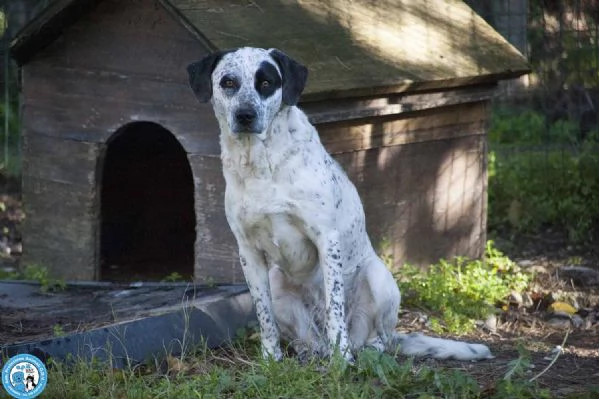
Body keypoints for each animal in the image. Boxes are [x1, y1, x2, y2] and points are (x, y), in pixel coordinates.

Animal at [186, 46, 492, 362]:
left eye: (267, 82)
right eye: (228, 82)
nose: (245, 114)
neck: (261, 163)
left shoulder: (326, 238)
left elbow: (335, 307)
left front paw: (341, 359)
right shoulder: (248, 251)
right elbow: (264, 315)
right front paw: (270, 358)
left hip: (378, 278)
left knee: (378, 338)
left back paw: (360, 351)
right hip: (277, 282)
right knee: (309, 337)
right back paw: (309, 352)